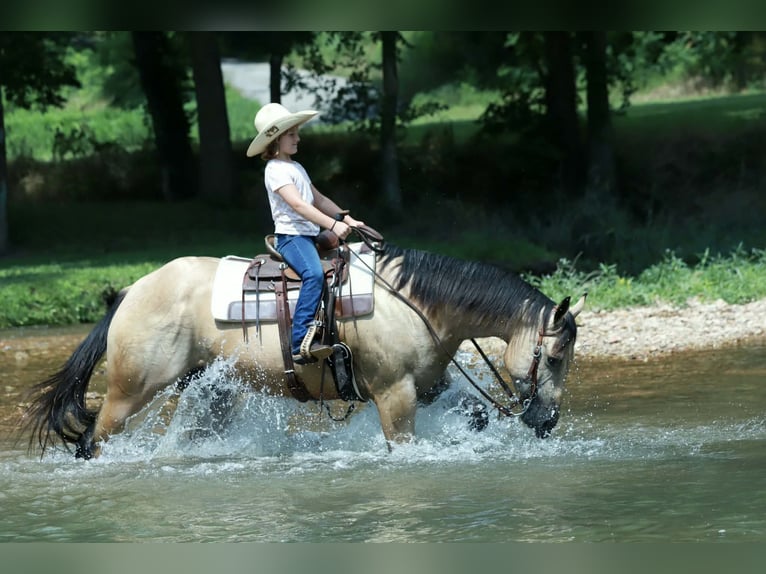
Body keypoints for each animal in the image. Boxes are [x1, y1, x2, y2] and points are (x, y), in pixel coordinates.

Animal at [22, 240, 585, 459]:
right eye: (555, 357)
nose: (548, 421)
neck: (415, 304)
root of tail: (131, 291)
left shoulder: (430, 386)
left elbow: (475, 414)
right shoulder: (395, 394)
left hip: (210, 392)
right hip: (130, 391)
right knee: (94, 438)